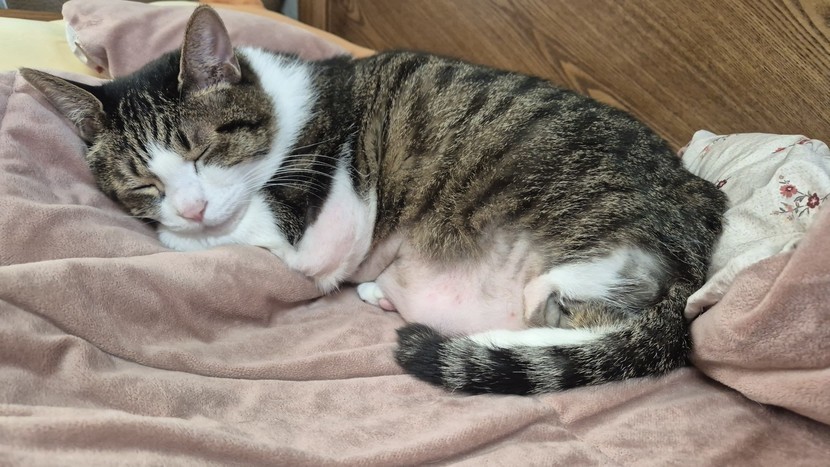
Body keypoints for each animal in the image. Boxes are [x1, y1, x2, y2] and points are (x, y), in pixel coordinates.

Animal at [22, 5, 726, 395]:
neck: (285, 110)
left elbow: (232, 234)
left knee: (586, 327)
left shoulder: (311, 220)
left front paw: (196, 228)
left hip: (591, 249)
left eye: (201, 152)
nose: (190, 206)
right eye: (144, 182)